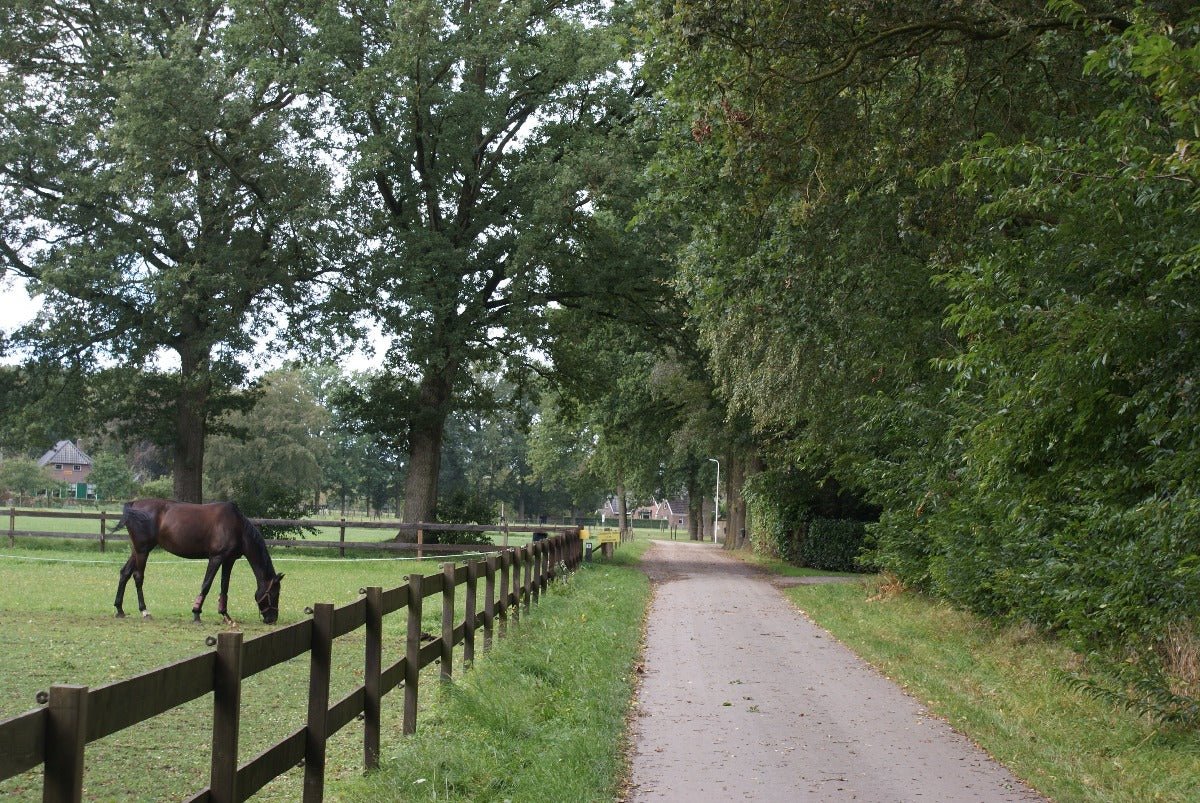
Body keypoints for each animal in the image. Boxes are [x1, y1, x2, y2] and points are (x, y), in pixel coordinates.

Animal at [114, 496, 288, 624]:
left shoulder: (229, 560)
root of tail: (133, 504)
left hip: (137, 551)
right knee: (138, 577)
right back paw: (144, 611)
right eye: (274, 593)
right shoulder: (216, 558)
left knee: (125, 573)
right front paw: (196, 613)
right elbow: (206, 584)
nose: (272, 619)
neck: (237, 526)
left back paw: (119, 609)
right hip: (143, 551)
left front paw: (225, 615)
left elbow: (224, 586)